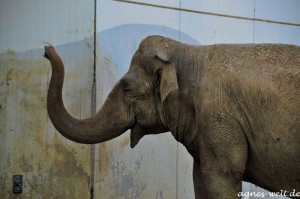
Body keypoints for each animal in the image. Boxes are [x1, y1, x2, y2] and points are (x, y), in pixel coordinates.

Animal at [45, 36, 300, 199]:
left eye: (126, 89)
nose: (47, 49)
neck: (189, 53)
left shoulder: (219, 117)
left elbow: (222, 177)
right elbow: (200, 179)